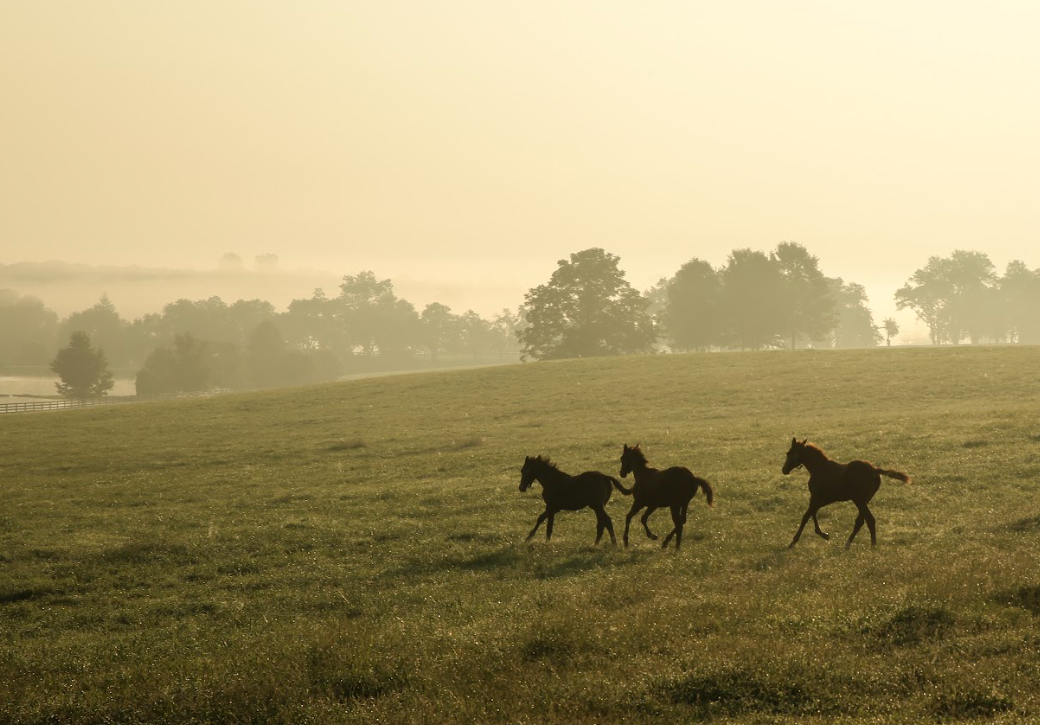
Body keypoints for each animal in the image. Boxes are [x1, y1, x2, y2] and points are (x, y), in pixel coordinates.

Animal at [782, 434, 911, 549]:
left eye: (790, 454)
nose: (784, 470)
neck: (820, 469)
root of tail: (875, 470)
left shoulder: (816, 496)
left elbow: (806, 516)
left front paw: (793, 542)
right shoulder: (826, 498)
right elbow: (813, 512)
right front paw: (824, 534)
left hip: (859, 500)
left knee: (869, 519)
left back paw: (872, 546)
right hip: (864, 500)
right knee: (860, 521)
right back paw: (849, 544)